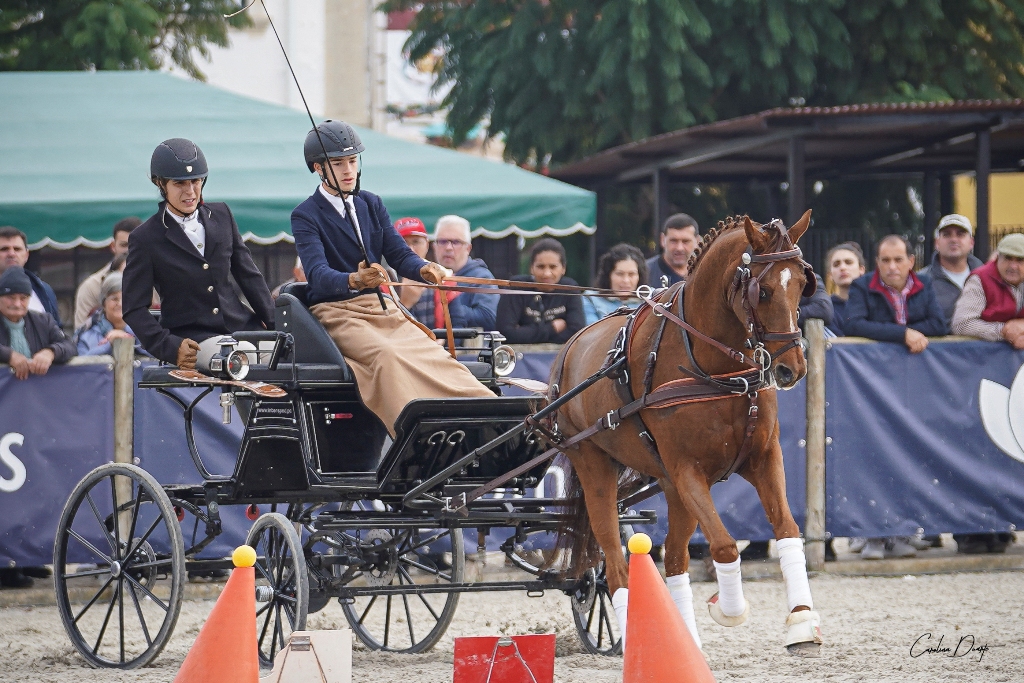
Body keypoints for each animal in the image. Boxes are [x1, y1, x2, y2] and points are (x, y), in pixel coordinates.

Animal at [552, 210, 823, 655]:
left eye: (802, 284)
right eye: (763, 291)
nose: (792, 369)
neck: (717, 370)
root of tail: (570, 347)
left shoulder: (762, 457)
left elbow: (787, 530)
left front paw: (801, 622)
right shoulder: (687, 470)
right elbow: (725, 546)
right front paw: (727, 610)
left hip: (668, 485)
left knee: (676, 559)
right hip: (596, 468)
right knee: (616, 566)